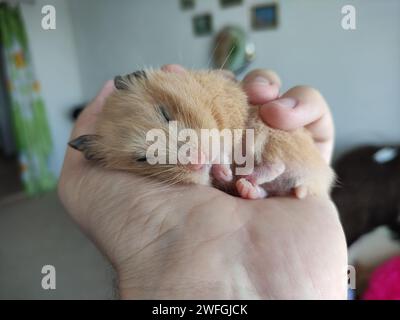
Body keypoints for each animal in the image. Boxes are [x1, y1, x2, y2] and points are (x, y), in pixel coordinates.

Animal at [69, 69, 334, 199]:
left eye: (165, 113)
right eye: (142, 159)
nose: (198, 161)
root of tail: (319, 178)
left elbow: (222, 146)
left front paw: (224, 170)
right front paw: (223, 174)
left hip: (270, 132)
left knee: (277, 164)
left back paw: (246, 176)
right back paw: (246, 186)